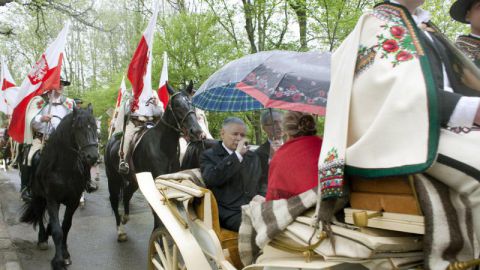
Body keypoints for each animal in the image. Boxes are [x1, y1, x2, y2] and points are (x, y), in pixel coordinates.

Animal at [20, 105, 98, 270]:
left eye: (95, 126)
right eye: (78, 127)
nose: (93, 157)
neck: (64, 168)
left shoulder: (73, 200)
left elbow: (66, 226)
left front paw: (66, 254)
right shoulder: (52, 199)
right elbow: (57, 230)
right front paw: (58, 261)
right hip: (38, 197)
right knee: (39, 214)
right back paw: (42, 238)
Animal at [104, 83, 205, 243]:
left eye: (192, 104)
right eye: (176, 105)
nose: (197, 132)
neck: (163, 148)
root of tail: (111, 141)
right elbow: (157, 212)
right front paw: (159, 238)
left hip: (134, 181)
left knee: (126, 194)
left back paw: (126, 218)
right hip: (113, 179)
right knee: (114, 201)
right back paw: (120, 230)